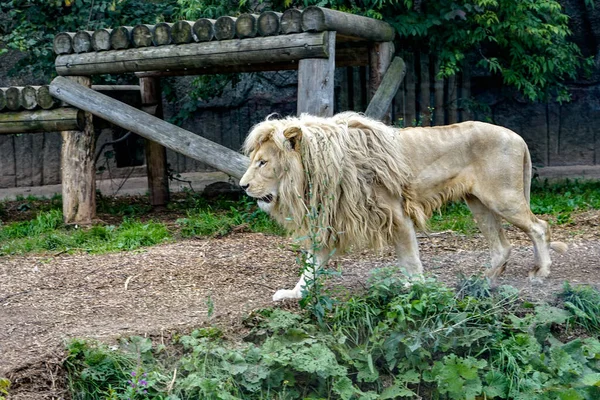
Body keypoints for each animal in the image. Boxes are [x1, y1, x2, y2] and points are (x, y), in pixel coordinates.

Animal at [239, 111, 568, 300]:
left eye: (262, 162)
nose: (242, 186)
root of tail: (518, 137)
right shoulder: (333, 222)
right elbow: (311, 267)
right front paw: (294, 293)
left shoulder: (396, 214)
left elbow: (410, 259)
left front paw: (417, 288)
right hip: (479, 204)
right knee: (502, 245)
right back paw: (484, 281)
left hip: (503, 197)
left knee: (539, 227)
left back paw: (542, 272)